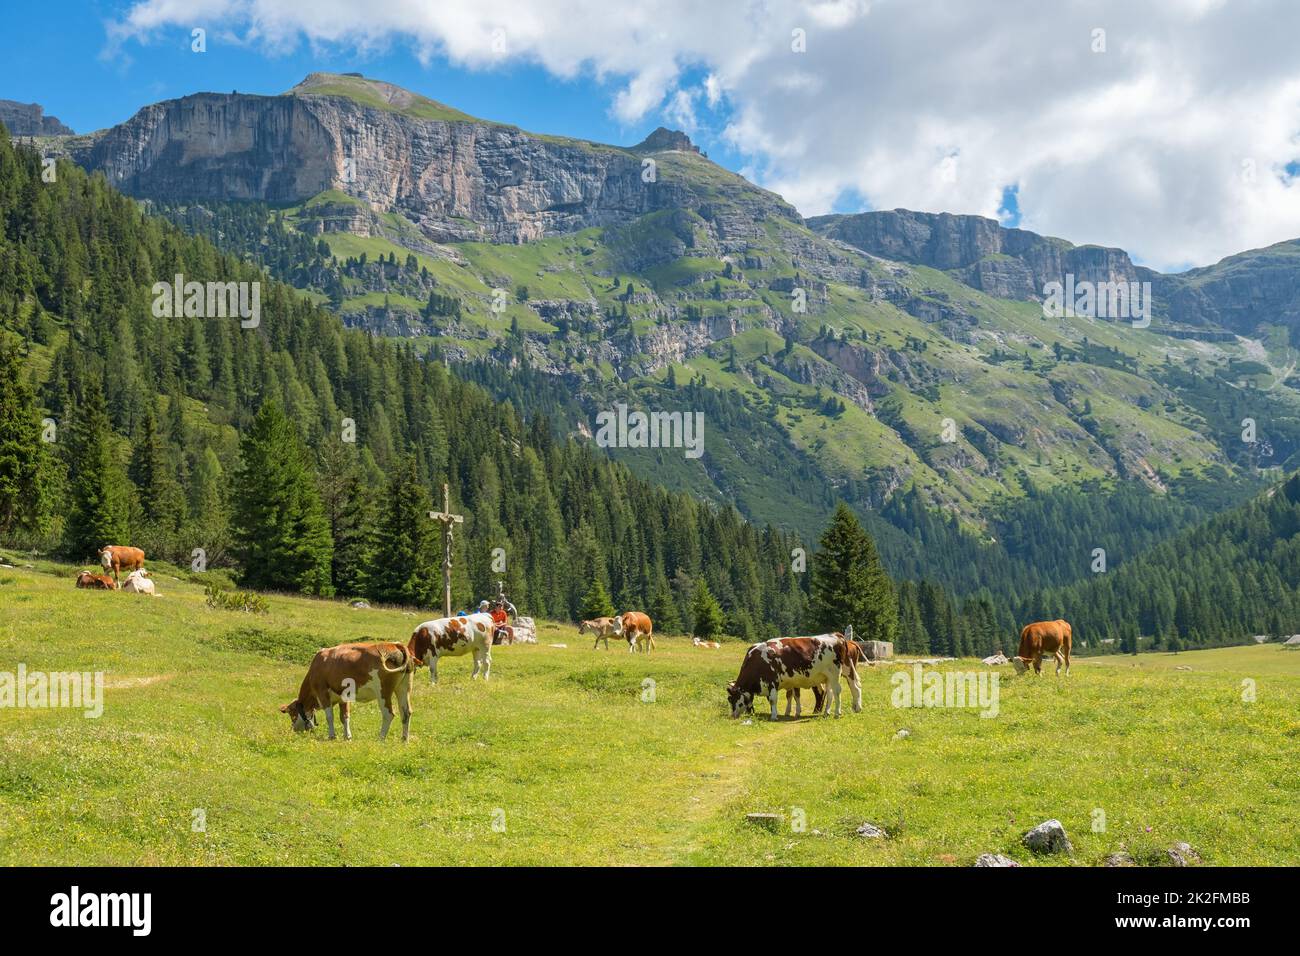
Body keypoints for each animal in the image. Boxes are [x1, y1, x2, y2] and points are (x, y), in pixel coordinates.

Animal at [280, 639, 416, 743]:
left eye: (292, 714)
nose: (294, 730)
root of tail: (395, 644)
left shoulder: (322, 692)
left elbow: (330, 716)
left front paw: (332, 736)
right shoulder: (344, 696)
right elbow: (344, 716)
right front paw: (347, 737)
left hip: (383, 691)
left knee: (389, 714)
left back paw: (381, 738)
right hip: (404, 688)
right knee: (406, 712)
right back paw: (404, 739)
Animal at [733, 632, 863, 723]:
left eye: (731, 699)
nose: (732, 715)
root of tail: (836, 635)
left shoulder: (772, 682)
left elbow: (773, 699)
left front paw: (774, 716)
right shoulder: (792, 682)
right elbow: (795, 696)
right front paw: (795, 712)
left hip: (835, 672)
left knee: (839, 690)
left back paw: (838, 713)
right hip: (834, 674)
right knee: (846, 689)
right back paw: (837, 711)